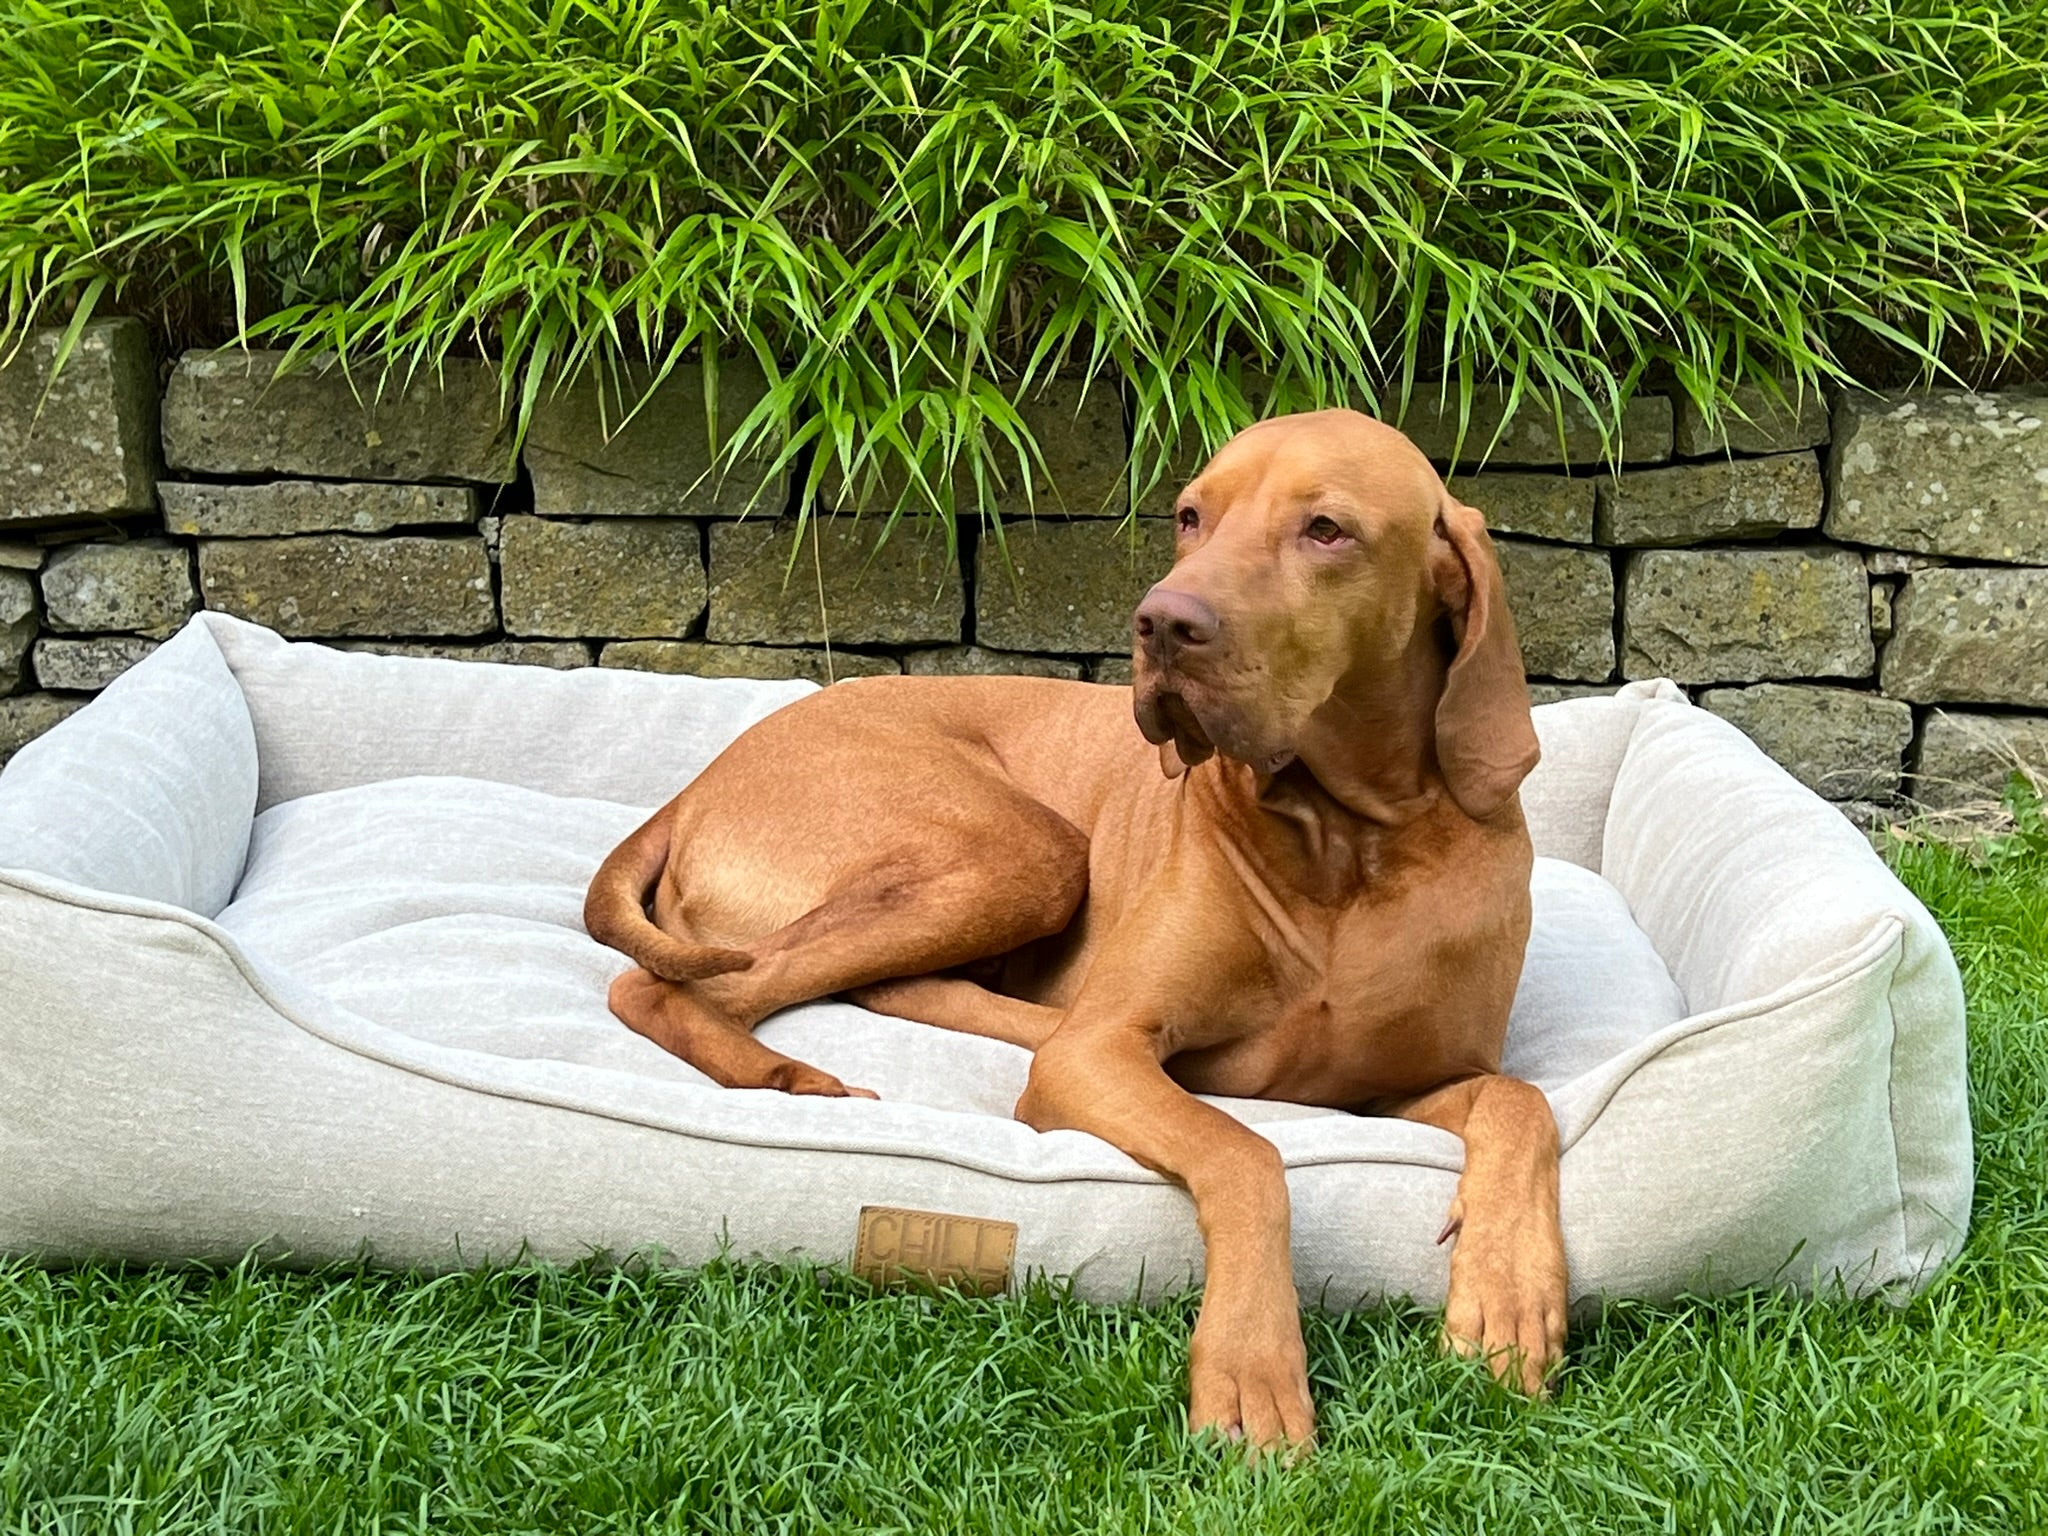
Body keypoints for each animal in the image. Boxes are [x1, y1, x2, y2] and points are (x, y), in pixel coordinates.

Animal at [589, 411, 1564, 1458]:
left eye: (1327, 530)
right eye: (1190, 515)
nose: (1162, 623)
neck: (1344, 847)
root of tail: (703, 774)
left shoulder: (1394, 1088)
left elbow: (1521, 1103)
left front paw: (1510, 1298)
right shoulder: (1104, 1054)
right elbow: (1245, 1153)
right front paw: (1252, 1367)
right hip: (1032, 851)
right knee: (664, 986)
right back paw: (786, 1077)